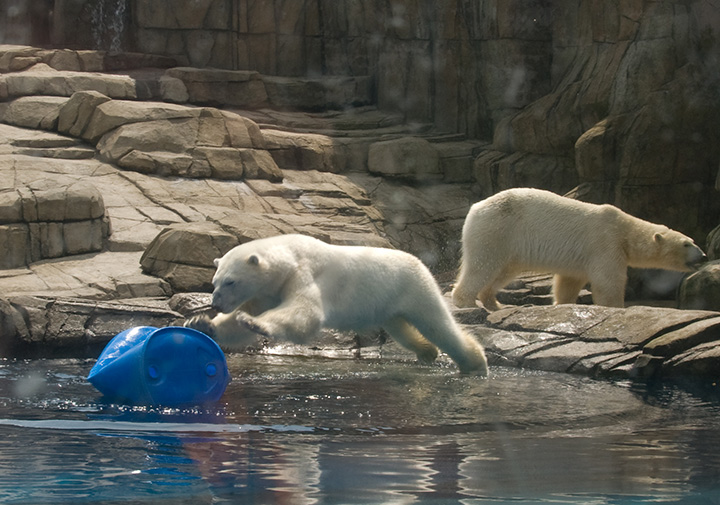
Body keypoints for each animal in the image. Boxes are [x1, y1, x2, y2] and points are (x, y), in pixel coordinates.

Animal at [186, 233, 490, 374]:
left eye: (230, 282)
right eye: (215, 281)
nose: (215, 304)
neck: (290, 256)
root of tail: (420, 261)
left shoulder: (304, 274)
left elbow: (305, 313)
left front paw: (254, 323)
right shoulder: (267, 291)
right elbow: (238, 321)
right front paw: (201, 323)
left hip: (414, 287)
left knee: (437, 324)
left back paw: (474, 363)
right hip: (389, 305)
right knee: (402, 329)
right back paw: (427, 352)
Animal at [452, 187, 704, 310]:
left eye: (692, 240)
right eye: (686, 243)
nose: (702, 255)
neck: (624, 229)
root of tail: (475, 207)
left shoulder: (580, 260)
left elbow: (568, 282)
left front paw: (561, 304)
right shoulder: (605, 243)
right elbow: (609, 282)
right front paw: (617, 308)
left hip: (506, 243)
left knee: (501, 271)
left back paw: (494, 303)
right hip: (497, 229)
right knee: (483, 265)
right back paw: (465, 301)